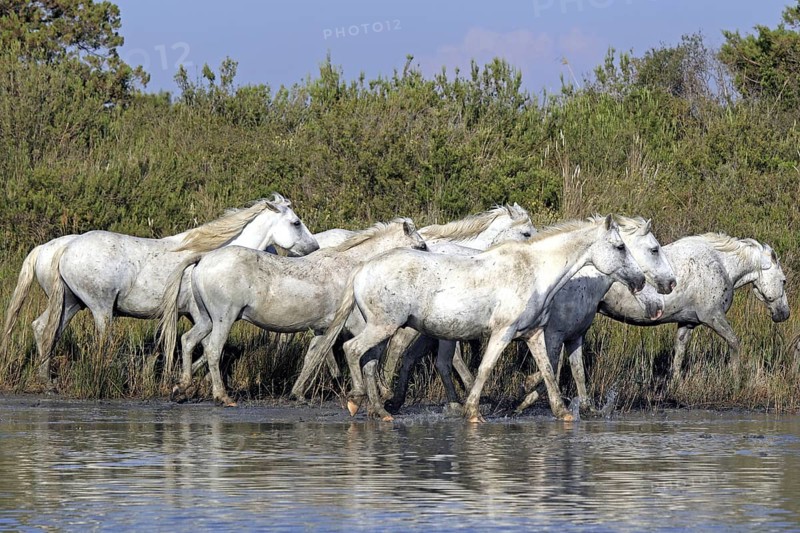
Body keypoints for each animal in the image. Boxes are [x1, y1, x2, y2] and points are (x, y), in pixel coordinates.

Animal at [36, 194, 319, 382]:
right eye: (296, 222)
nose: (314, 248)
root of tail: (66, 247)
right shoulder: (199, 313)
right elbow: (201, 345)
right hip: (100, 308)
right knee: (99, 339)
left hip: (71, 304)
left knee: (44, 329)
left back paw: (45, 378)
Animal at [157, 219, 427, 405]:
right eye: (422, 245)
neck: (352, 268)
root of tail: (204, 258)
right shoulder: (356, 325)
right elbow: (367, 354)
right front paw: (380, 391)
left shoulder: (322, 328)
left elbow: (313, 356)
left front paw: (297, 393)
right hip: (224, 319)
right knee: (213, 351)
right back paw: (222, 396)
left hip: (206, 319)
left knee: (188, 341)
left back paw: (181, 388)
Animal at [306, 216, 646, 422]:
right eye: (619, 247)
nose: (640, 280)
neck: (535, 271)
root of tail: (362, 268)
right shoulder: (503, 333)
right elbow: (484, 369)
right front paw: (472, 411)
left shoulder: (534, 333)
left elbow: (548, 371)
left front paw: (563, 412)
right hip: (383, 326)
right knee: (352, 350)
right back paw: (356, 400)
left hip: (382, 328)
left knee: (370, 361)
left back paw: (381, 411)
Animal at [384, 216, 676, 416]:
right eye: (654, 249)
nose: (669, 285)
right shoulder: (553, 335)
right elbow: (552, 369)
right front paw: (525, 394)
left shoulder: (574, 338)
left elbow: (576, 373)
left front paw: (585, 409)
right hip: (420, 327)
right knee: (403, 349)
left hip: (434, 330)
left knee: (420, 358)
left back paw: (405, 401)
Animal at [596, 233, 789, 382]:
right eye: (783, 280)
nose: (784, 314)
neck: (721, 265)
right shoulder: (713, 317)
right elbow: (734, 343)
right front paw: (736, 380)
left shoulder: (687, 323)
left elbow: (679, 354)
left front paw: (676, 383)